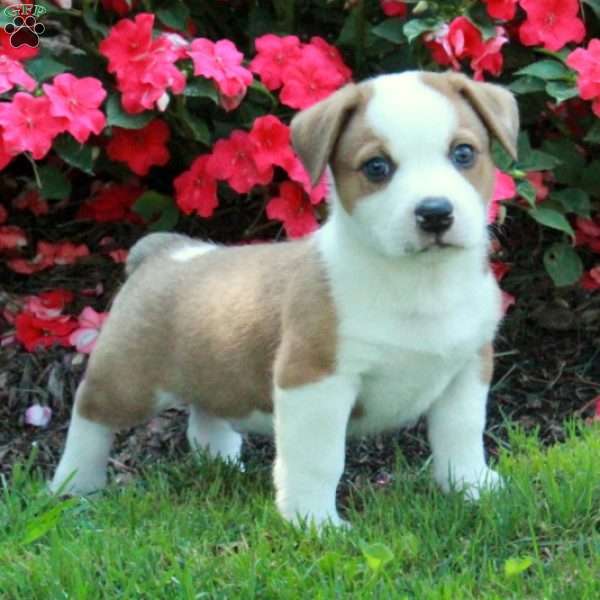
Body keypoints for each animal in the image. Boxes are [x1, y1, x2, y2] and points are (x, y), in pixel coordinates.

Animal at [51, 70, 516, 528]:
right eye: (377, 167)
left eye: (463, 153)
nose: (435, 212)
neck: (423, 282)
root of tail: (165, 251)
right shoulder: (314, 381)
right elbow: (319, 460)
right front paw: (314, 522)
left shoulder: (468, 370)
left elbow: (462, 434)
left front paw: (472, 487)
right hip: (129, 383)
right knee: (89, 415)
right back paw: (73, 486)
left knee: (206, 419)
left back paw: (221, 465)